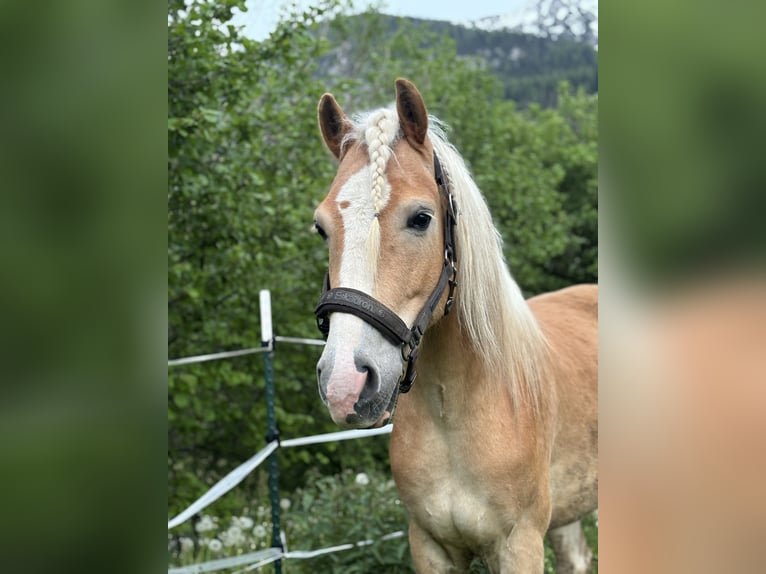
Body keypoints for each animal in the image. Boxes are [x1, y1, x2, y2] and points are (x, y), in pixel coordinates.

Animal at [312, 79, 600, 572]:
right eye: (321, 227)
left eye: (421, 218)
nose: (345, 383)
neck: (457, 411)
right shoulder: (429, 544)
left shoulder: (519, 545)